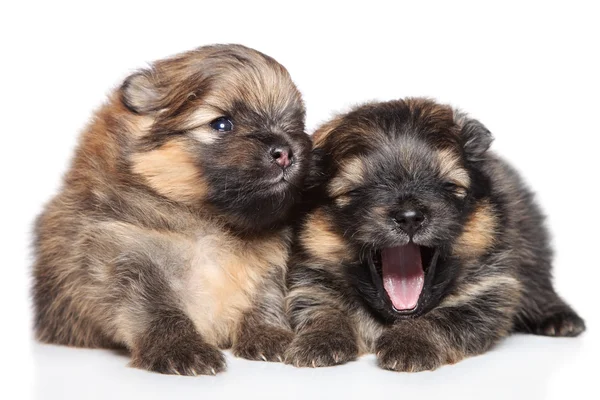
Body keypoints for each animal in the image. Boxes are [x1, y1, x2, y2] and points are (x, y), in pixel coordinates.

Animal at [34, 44, 310, 376]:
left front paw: (271, 335)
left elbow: (264, 299)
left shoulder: (268, 265)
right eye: (222, 124)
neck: (209, 221)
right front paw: (181, 350)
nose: (285, 152)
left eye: (294, 124)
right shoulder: (128, 255)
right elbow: (157, 310)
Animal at [286, 98, 584, 370]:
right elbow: (323, 310)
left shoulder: (488, 290)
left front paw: (410, 343)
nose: (409, 217)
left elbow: (446, 317)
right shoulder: (309, 283)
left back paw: (560, 318)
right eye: (354, 191)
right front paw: (320, 339)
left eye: (449, 186)